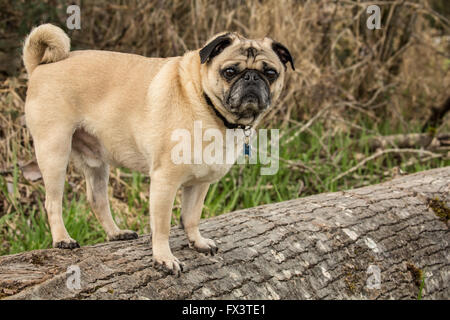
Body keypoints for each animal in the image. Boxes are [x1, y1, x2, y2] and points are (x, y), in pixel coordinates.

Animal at [22, 23, 294, 276]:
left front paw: (197, 242)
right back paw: (62, 239)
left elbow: (192, 217)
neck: (206, 104)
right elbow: (162, 226)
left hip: (95, 161)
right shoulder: (165, 181)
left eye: (270, 73)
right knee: (53, 201)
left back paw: (115, 233)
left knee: (97, 200)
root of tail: (40, 66)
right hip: (54, 150)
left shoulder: (200, 183)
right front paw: (164, 258)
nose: (252, 78)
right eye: (230, 72)